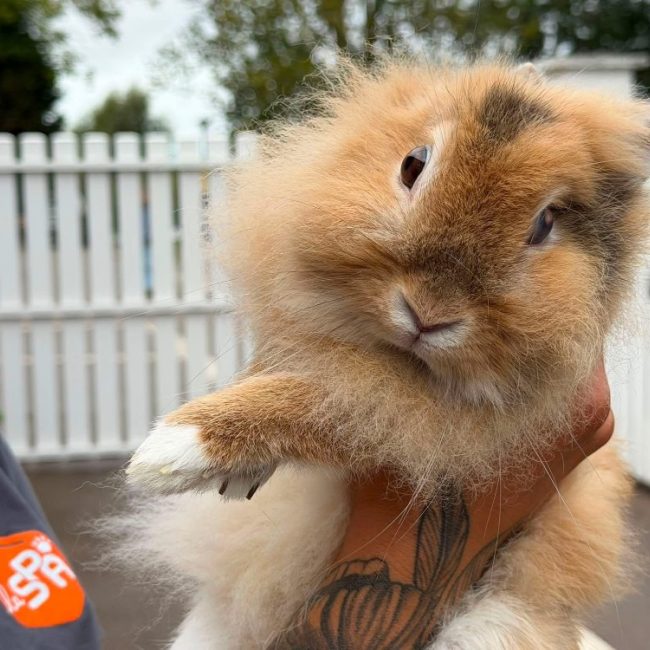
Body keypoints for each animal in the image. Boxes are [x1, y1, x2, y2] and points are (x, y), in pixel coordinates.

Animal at [124, 59, 649, 649]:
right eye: (413, 164)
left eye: (546, 223)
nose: (428, 312)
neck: (403, 359)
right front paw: (233, 476)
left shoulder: (419, 424)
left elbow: (315, 405)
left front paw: (168, 452)